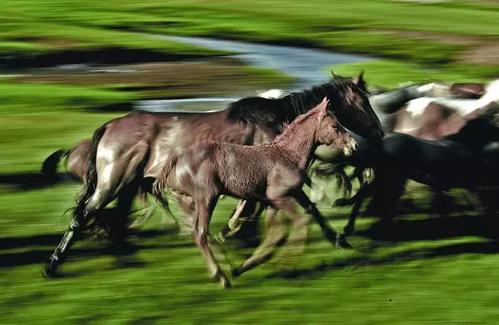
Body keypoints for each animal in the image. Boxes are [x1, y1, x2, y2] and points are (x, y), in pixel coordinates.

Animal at [44, 72, 386, 278]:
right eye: (364, 102)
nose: (379, 133)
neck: (277, 126)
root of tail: (108, 126)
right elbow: (286, 208)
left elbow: (291, 207)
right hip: (113, 181)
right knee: (85, 214)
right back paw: (53, 264)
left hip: (128, 184)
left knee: (114, 218)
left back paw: (125, 259)